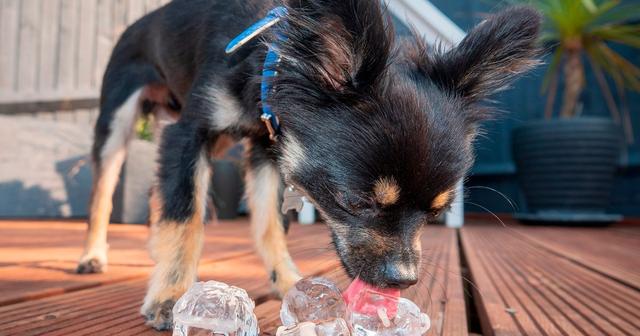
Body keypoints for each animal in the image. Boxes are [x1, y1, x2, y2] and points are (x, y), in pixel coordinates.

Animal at [75, 0, 540, 330]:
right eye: (354, 201)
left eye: (437, 213)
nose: (404, 279)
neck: (272, 55)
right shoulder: (189, 135)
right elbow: (185, 217)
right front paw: (171, 295)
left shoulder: (268, 152)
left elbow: (268, 225)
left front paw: (288, 281)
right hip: (117, 122)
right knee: (102, 194)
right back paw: (93, 255)